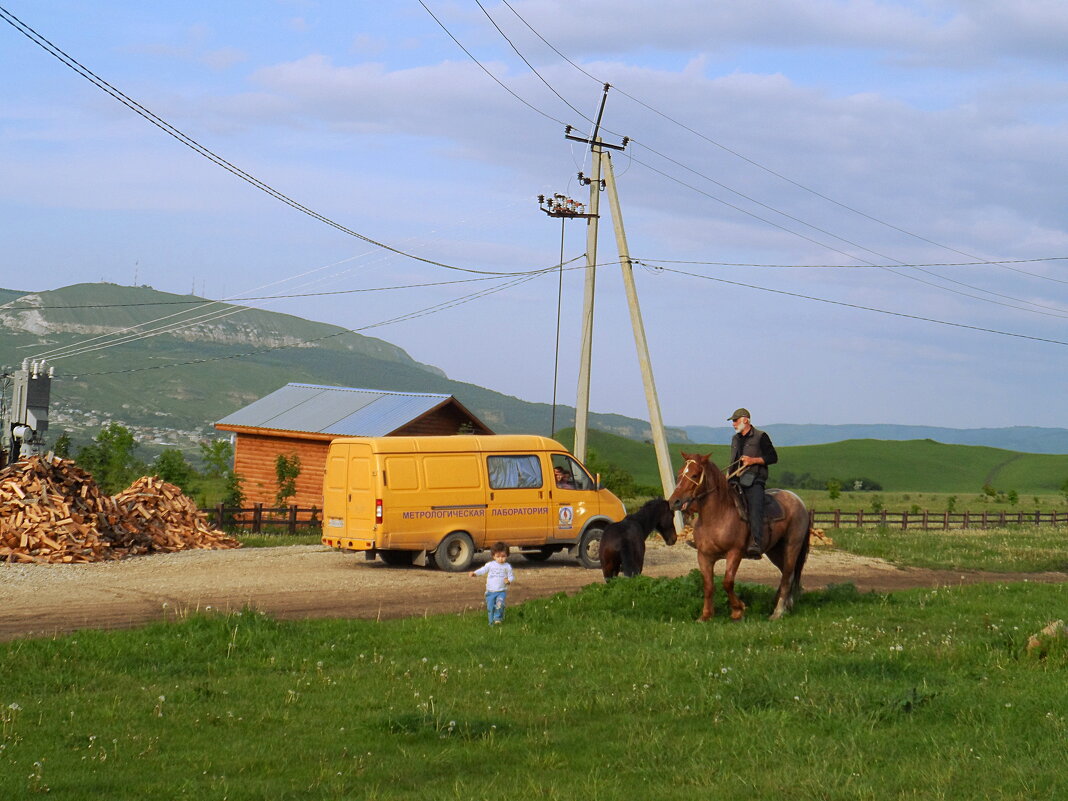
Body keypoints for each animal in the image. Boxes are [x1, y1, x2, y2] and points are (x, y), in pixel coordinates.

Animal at [666, 454, 807, 623]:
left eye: (694, 475)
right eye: (680, 473)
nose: (674, 502)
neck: (718, 515)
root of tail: (797, 499)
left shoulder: (735, 553)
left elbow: (727, 582)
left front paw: (738, 610)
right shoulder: (704, 556)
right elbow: (708, 585)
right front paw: (706, 615)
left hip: (792, 546)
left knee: (787, 576)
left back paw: (778, 612)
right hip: (775, 550)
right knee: (788, 573)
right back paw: (786, 605)